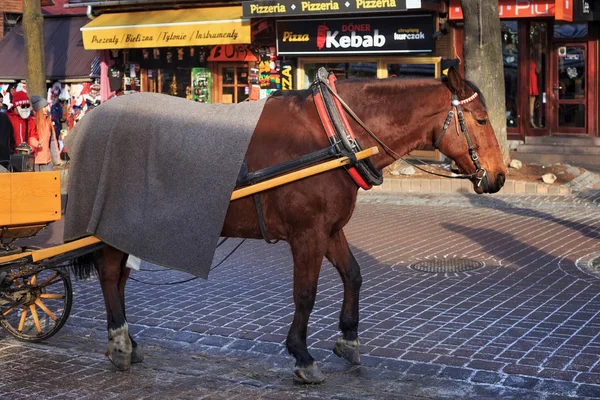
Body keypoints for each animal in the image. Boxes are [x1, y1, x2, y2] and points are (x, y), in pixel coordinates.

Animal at [75, 69, 506, 384]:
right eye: (481, 119)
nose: (500, 176)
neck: (334, 136)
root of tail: (90, 119)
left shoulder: (329, 229)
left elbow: (353, 275)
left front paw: (348, 338)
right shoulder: (307, 234)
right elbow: (305, 294)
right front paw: (302, 354)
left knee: (119, 279)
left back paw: (129, 339)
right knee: (109, 273)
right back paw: (119, 341)